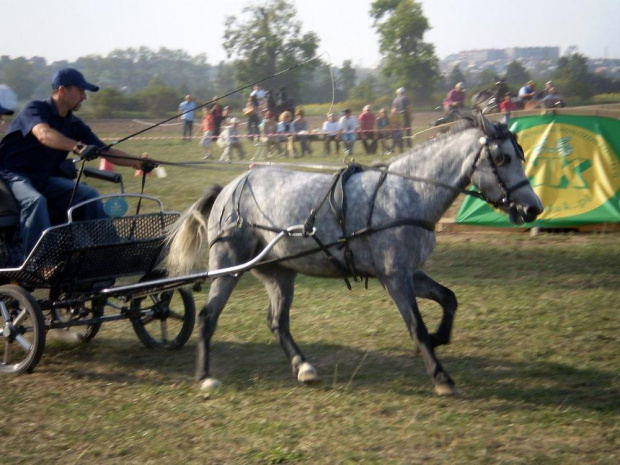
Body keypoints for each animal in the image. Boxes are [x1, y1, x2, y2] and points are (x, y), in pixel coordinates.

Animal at [166, 112, 544, 396]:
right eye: (502, 158)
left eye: (521, 155)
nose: (533, 209)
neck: (410, 191)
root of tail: (228, 189)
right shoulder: (395, 276)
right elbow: (416, 326)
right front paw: (440, 376)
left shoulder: (409, 272)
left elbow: (449, 299)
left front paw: (438, 340)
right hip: (229, 265)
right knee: (208, 317)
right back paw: (205, 377)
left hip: (279, 272)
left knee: (277, 321)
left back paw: (304, 367)